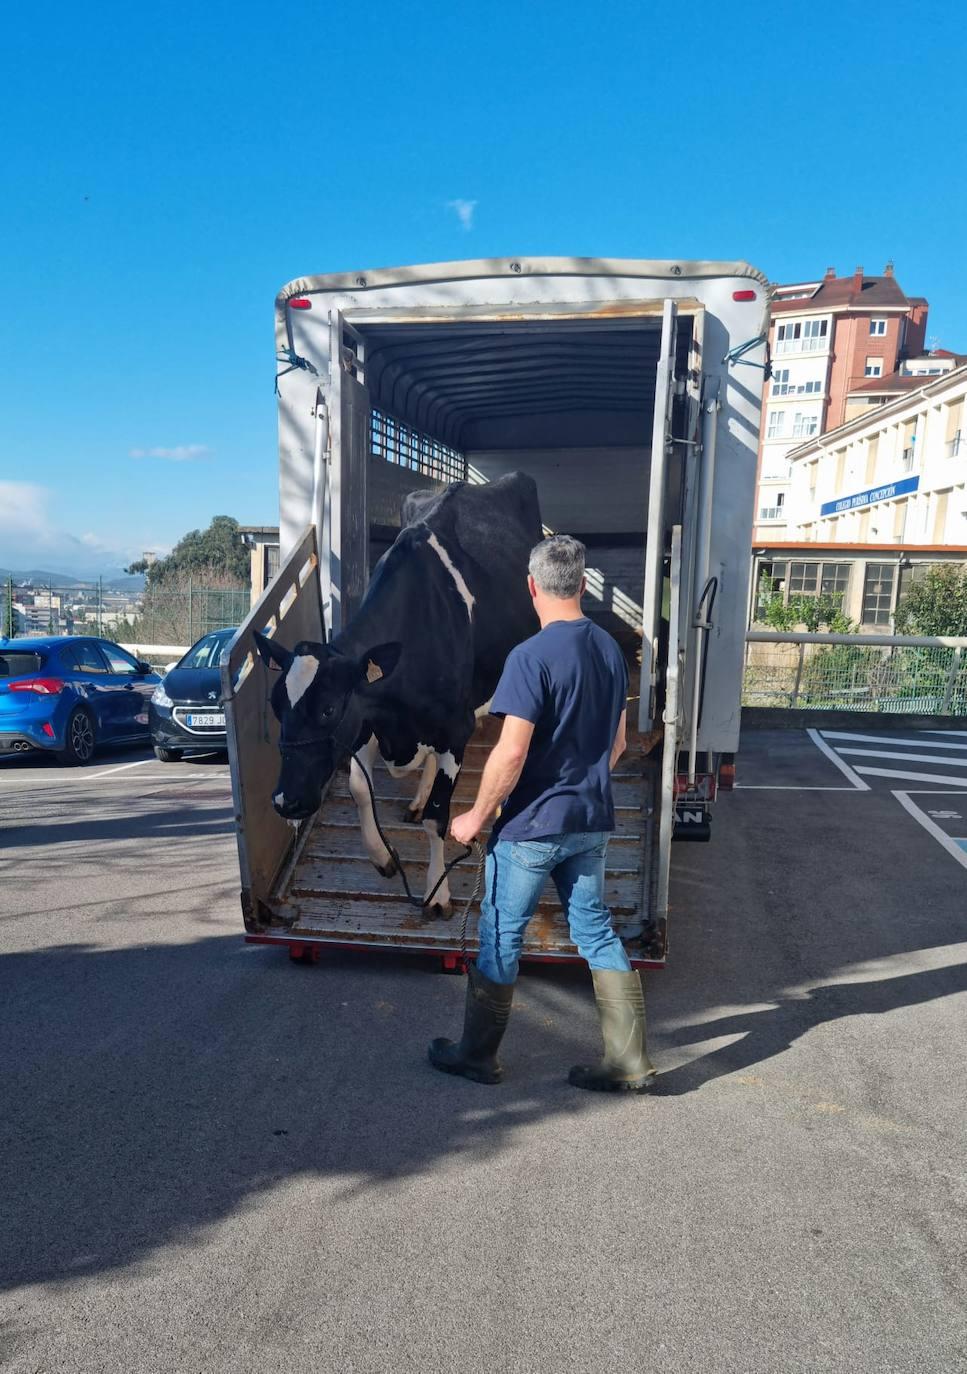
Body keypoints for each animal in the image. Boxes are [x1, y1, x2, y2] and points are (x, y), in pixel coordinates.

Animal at [255, 475, 543, 923]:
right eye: (275, 705)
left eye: (329, 708)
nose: (286, 801)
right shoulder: (367, 723)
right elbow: (359, 789)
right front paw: (381, 857)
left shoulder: (454, 728)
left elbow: (438, 820)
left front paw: (437, 893)